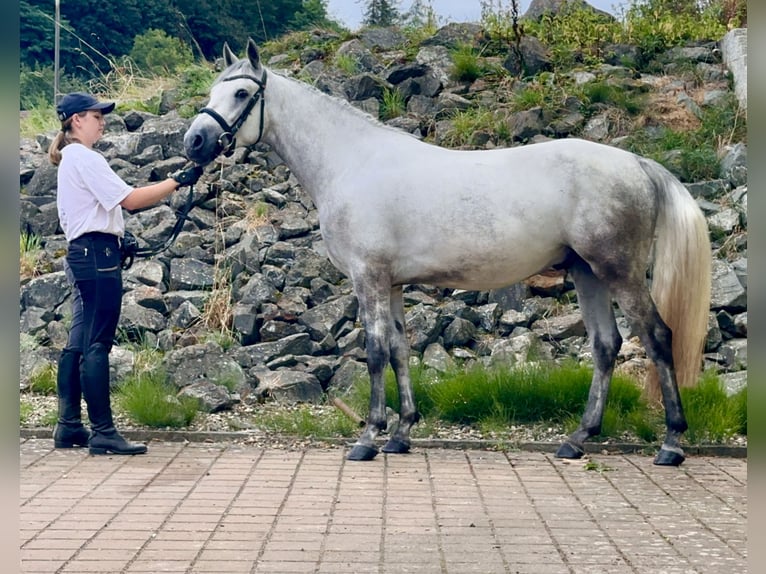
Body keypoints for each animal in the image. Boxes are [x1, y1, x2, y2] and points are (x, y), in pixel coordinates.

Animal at [184, 38, 712, 468]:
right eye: (211, 91)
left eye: (240, 94)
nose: (194, 141)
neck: (353, 164)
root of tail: (637, 163)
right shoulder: (392, 284)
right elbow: (399, 350)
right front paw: (401, 433)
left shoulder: (368, 278)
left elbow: (375, 351)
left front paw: (369, 437)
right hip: (587, 272)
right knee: (606, 345)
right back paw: (577, 439)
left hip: (618, 271)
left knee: (657, 336)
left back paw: (671, 443)